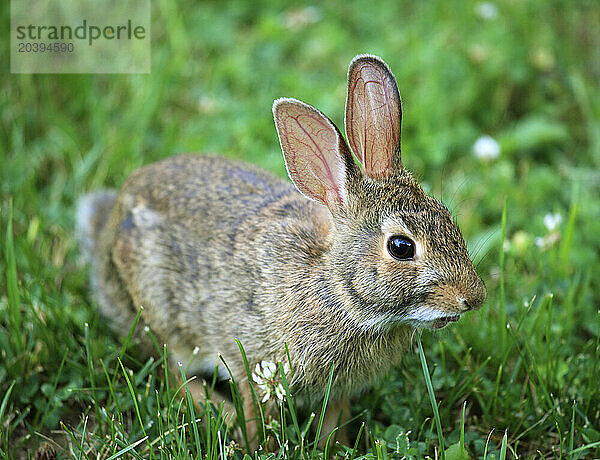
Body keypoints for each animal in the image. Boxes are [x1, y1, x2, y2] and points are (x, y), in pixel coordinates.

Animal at [76, 54, 488, 446]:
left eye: (448, 218)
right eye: (401, 247)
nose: (474, 298)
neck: (340, 293)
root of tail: (113, 219)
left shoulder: (338, 390)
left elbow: (333, 422)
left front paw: (333, 447)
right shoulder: (255, 362)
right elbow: (256, 412)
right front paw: (257, 443)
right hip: (164, 316)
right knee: (173, 374)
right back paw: (219, 412)